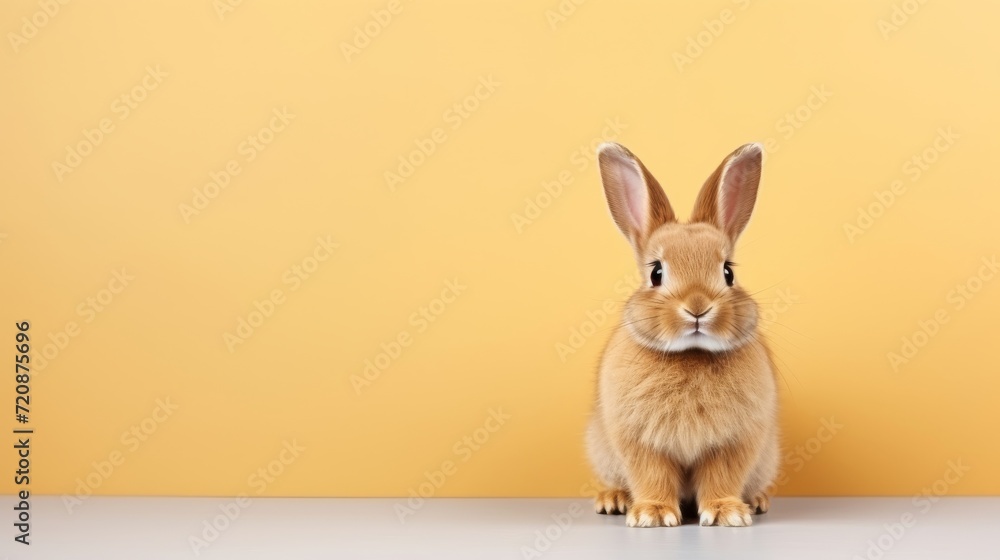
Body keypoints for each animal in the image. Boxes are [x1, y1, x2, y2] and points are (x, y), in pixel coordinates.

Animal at [586, 142, 780, 528]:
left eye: (728, 272)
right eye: (656, 273)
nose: (697, 307)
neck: (691, 353)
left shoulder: (734, 442)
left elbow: (722, 476)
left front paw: (727, 513)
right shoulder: (641, 443)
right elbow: (652, 476)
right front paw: (653, 515)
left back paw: (758, 500)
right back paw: (613, 500)